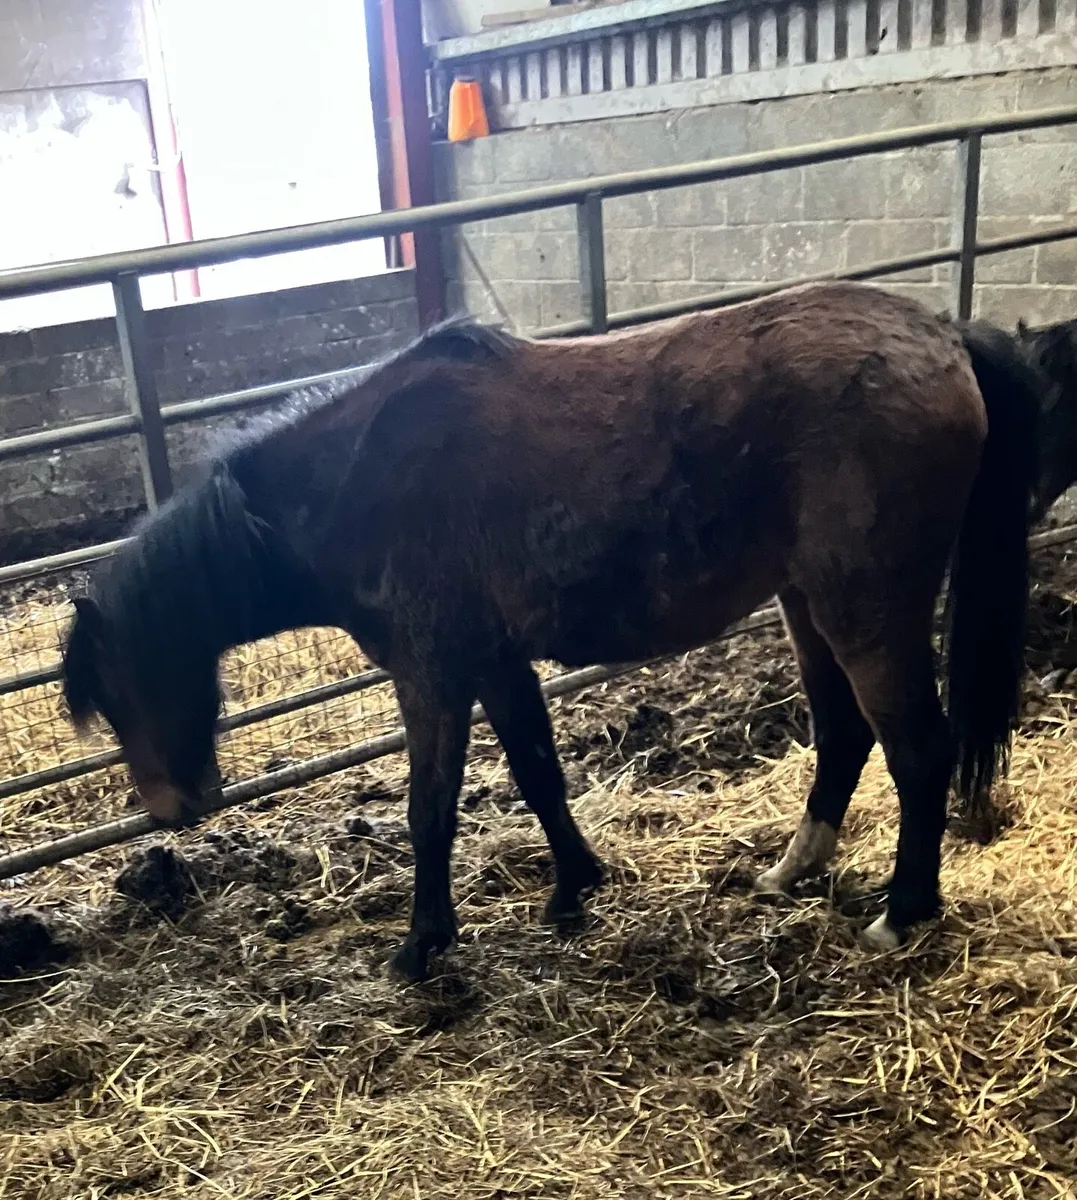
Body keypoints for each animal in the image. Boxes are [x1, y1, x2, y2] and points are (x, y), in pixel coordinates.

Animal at [61, 280, 1042, 983]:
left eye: (117, 691)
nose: (171, 808)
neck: (352, 484)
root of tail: (946, 337)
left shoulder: (431, 671)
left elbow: (429, 808)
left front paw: (420, 947)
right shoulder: (494, 661)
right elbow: (538, 773)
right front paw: (574, 889)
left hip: (863, 608)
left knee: (917, 750)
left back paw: (902, 912)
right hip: (807, 604)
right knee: (842, 737)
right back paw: (788, 873)